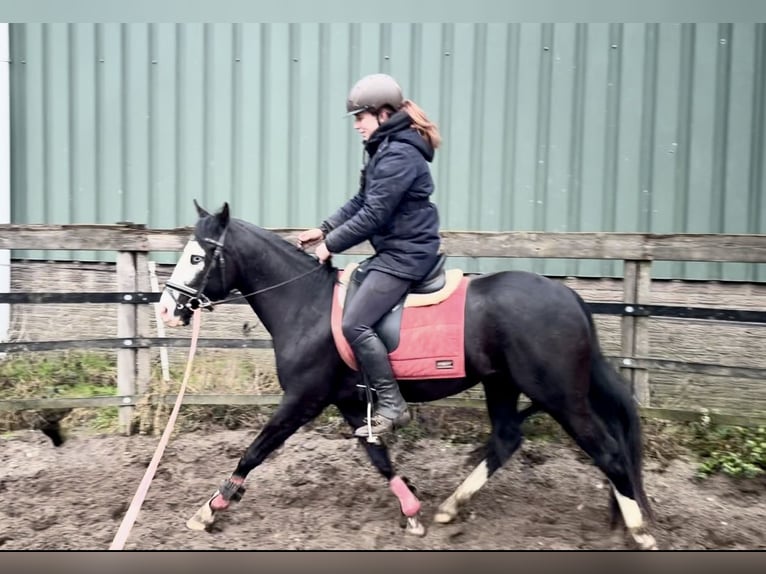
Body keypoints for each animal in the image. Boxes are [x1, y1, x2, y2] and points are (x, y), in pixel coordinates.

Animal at [157, 201, 657, 550]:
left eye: (198, 258)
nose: (166, 309)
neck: (306, 306)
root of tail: (569, 298)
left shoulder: (303, 399)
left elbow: (254, 451)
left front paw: (210, 510)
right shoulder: (351, 403)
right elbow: (379, 459)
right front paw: (413, 511)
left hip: (559, 395)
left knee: (608, 452)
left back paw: (639, 531)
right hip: (502, 384)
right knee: (507, 440)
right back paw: (450, 509)